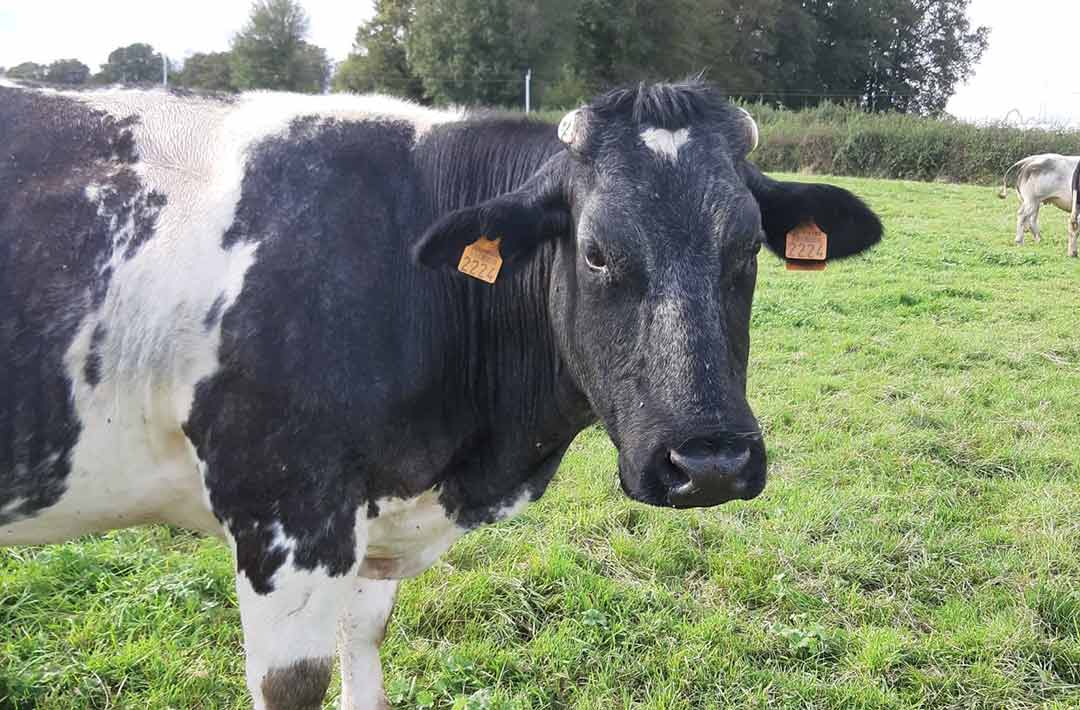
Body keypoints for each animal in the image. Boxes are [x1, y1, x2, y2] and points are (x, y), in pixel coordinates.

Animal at [0, 79, 882, 709]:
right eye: (595, 251)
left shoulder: (371, 519)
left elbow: (365, 646)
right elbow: (296, 682)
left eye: (750, 248)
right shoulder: (282, 512)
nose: (710, 464)